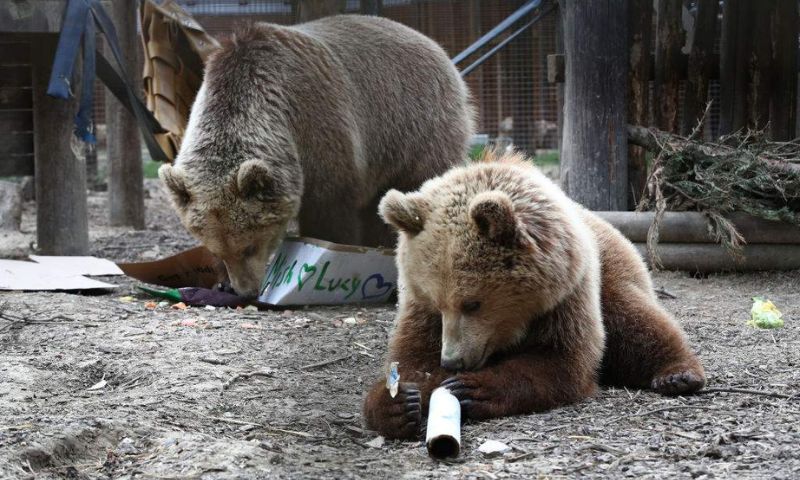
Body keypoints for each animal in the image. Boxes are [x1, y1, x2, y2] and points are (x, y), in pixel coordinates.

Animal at [159, 15, 473, 297]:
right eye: (221, 250)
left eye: (250, 245)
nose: (245, 290)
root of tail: (436, 46)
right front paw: (221, 281)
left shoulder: (320, 129)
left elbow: (330, 210)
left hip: (415, 127)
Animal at [363, 150, 706, 439]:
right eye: (437, 303)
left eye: (472, 303)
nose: (452, 360)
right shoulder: (419, 309)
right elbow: (412, 355)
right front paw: (398, 401)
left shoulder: (566, 297)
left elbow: (562, 359)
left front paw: (473, 388)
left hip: (612, 270)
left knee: (635, 321)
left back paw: (678, 374)